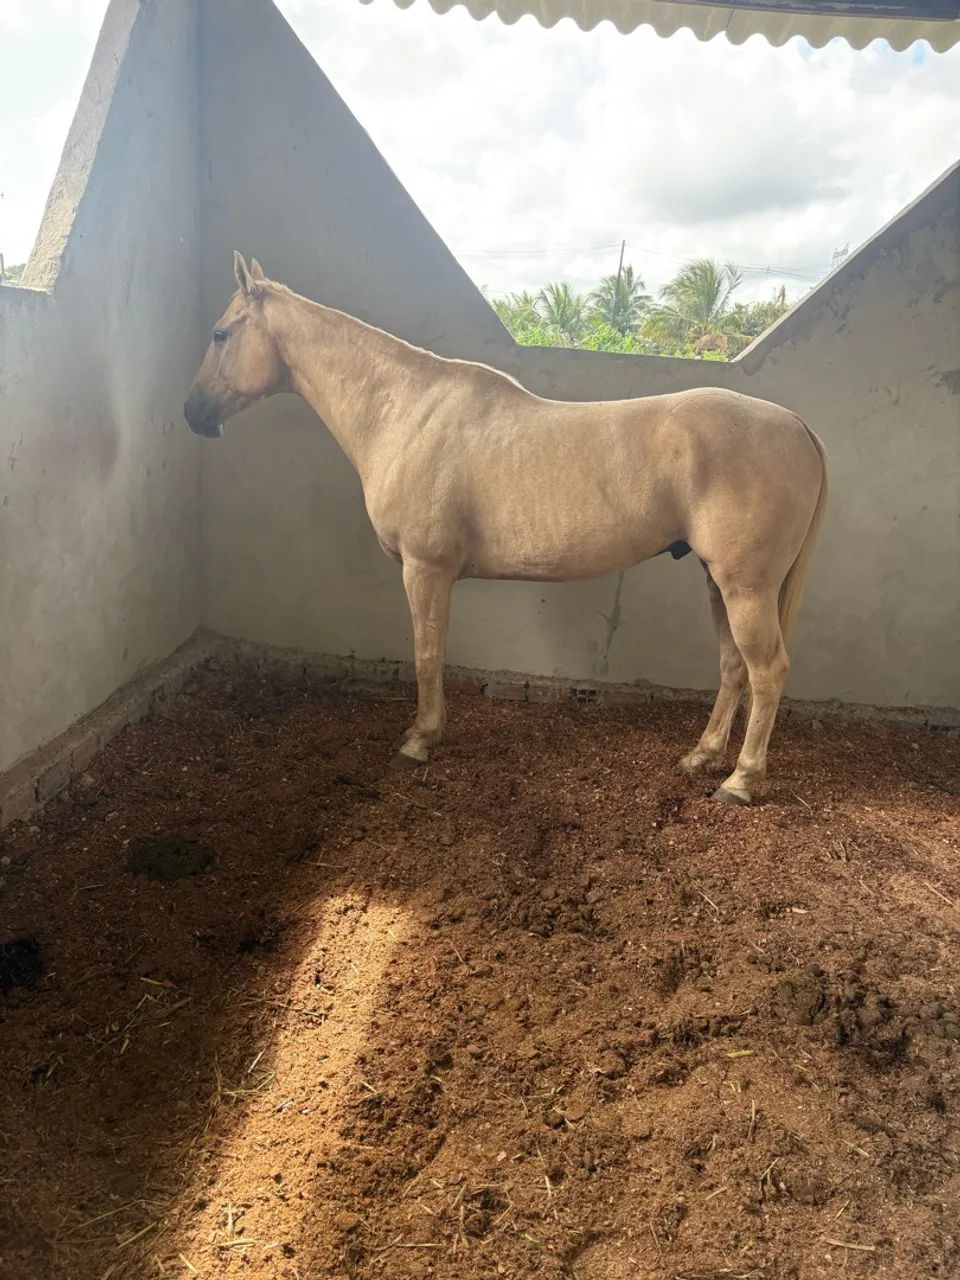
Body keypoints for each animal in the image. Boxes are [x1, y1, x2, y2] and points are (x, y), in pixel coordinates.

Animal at [185, 254, 827, 804]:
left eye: (220, 334)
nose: (192, 414)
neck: (405, 411)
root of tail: (797, 425)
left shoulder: (426, 569)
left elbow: (426, 652)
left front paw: (419, 741)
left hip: (746, 588)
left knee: (767, 671)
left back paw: (740, 780)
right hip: (719, 581)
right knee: (732, 666)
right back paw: (701, 757)